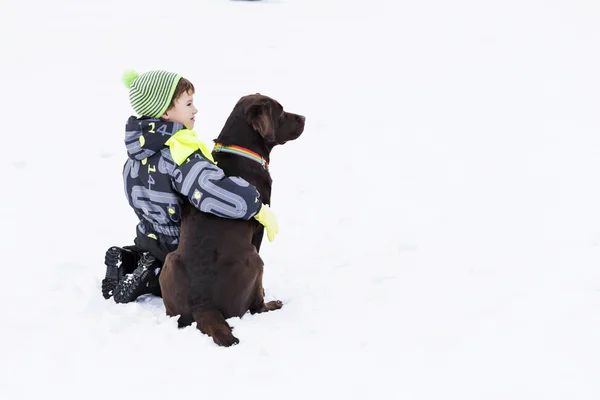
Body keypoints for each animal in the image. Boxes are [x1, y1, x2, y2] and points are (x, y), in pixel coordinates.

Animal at [158, 94, 304, 346]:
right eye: (281, 112)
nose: (303, 118)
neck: (240, 150)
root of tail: (202, 304)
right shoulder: (259, 228)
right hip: (256, 261)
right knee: (256, 307)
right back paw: (272, 304)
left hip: (169, 262)